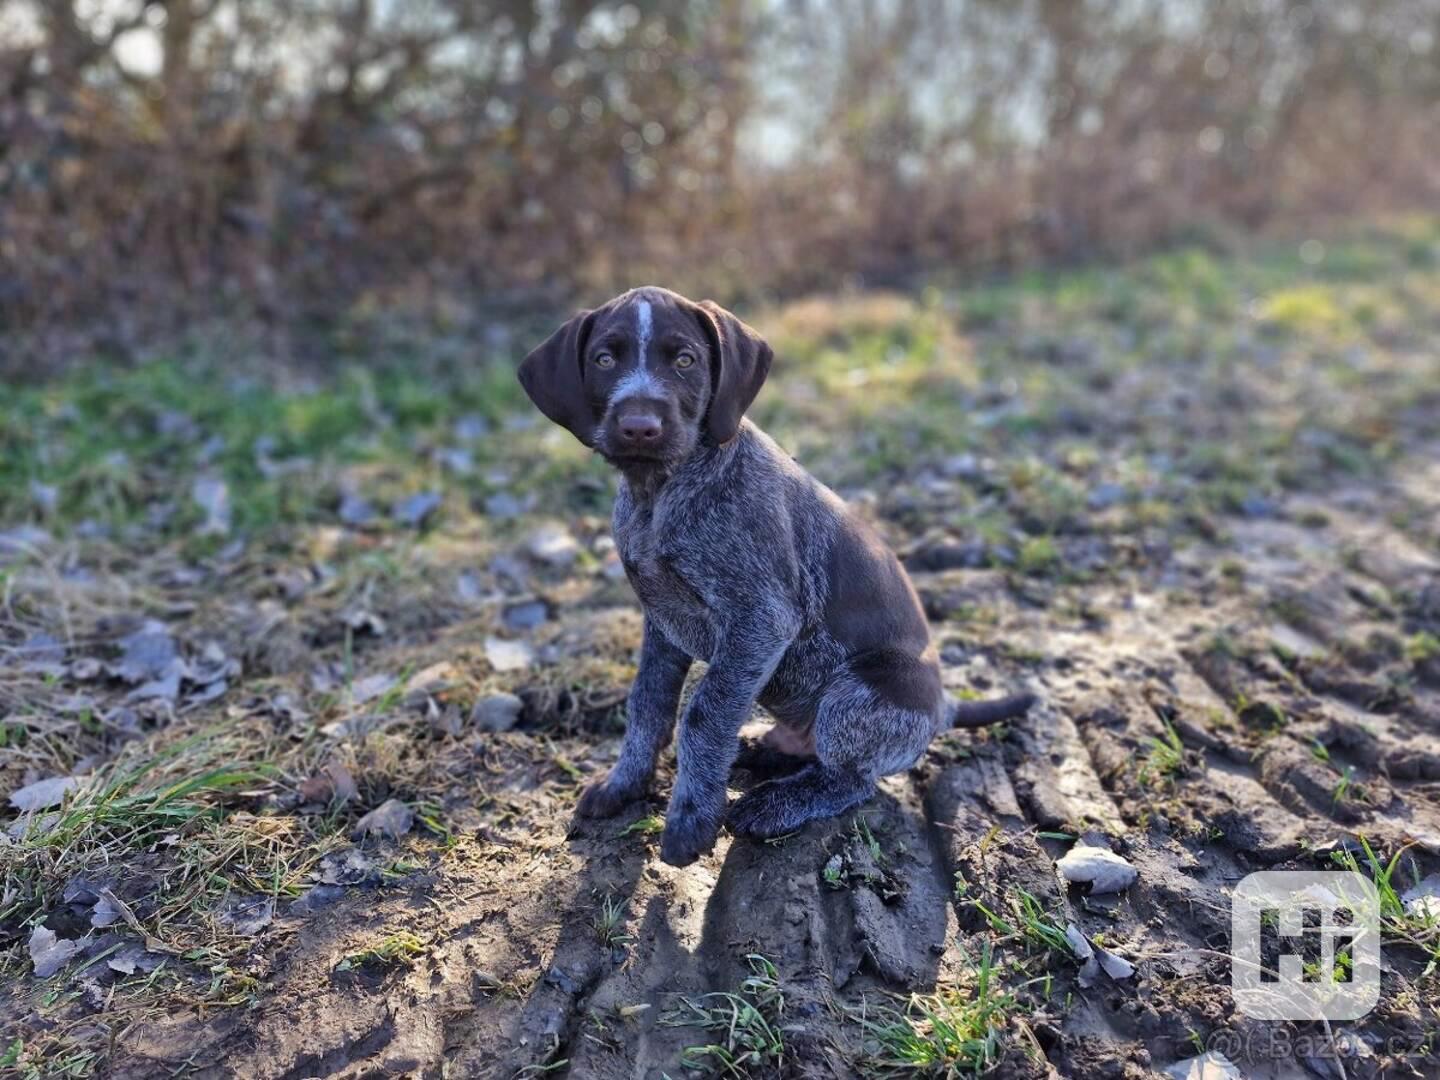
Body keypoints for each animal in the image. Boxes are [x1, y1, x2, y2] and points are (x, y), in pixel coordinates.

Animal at [518, 288, 1036, 869]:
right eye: (605, 359)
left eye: (685, 360)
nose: (639, 426)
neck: (661, 492)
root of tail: (943, 708)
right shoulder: (662, 621)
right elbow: (647, 706)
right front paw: (624, 784)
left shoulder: (759, 620)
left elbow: (703, 714)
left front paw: (690, 821)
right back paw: (759, 753)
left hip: (862, 692)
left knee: (851, 779)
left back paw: (776, 804)